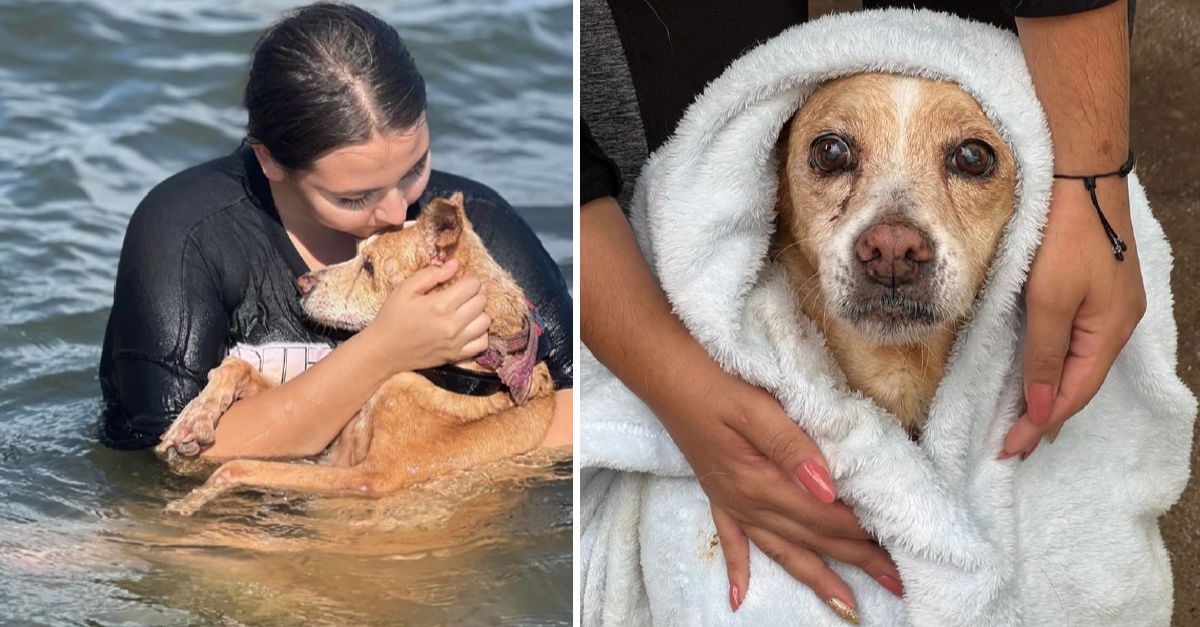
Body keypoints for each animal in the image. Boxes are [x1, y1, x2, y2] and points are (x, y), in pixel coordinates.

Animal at [153, 193, 556, 511]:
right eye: (357, 253)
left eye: (370, 267)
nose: (301, 284)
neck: (467, 375)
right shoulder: (333, 443)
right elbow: (235, 366)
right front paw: (194, 420)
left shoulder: (370, 478)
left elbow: (237, 466)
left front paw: (188, 503)